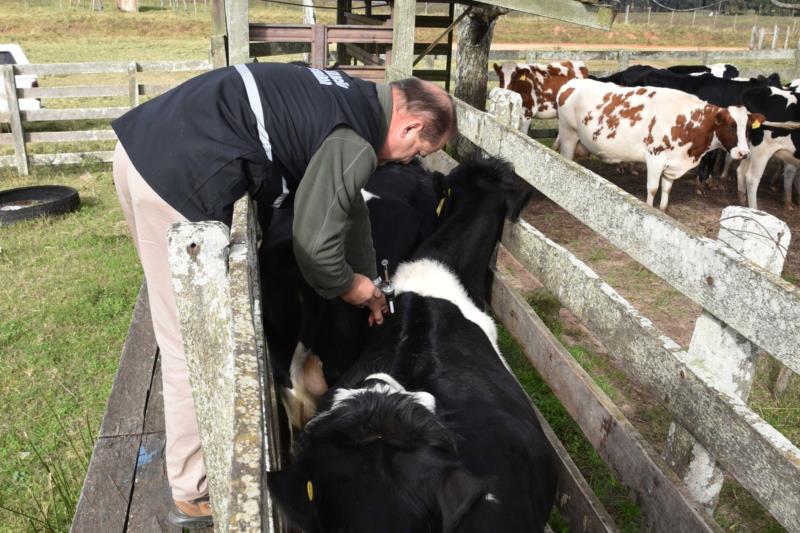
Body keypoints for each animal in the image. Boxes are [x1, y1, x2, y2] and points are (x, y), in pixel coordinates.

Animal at [556, 78, 764, 210]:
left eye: (748, 129)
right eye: (731, 126)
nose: (744, 153)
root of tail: (572, 83)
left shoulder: (673, 163)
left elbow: (666, 189)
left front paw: (663, 210)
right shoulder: (655, 157)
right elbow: (653, 188)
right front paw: (650, 209)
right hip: (568, 135)